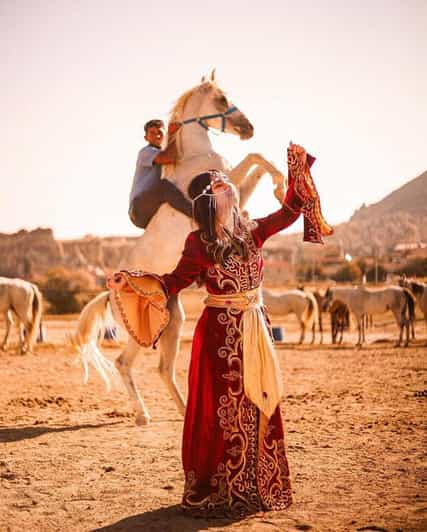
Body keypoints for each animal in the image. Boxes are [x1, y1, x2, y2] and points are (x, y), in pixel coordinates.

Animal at [72, 72, 290, 426]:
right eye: (220, 98)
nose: (248, 128)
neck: (194, 157)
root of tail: (109, 292)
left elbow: (256, 162)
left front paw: (280, 186)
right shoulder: (230, 186)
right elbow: (255, 159)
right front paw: (281, 185)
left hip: (172, 322)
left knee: (163, 369)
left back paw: (183, 410)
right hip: (142, 332)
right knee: (124, 363)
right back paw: (143, 415)